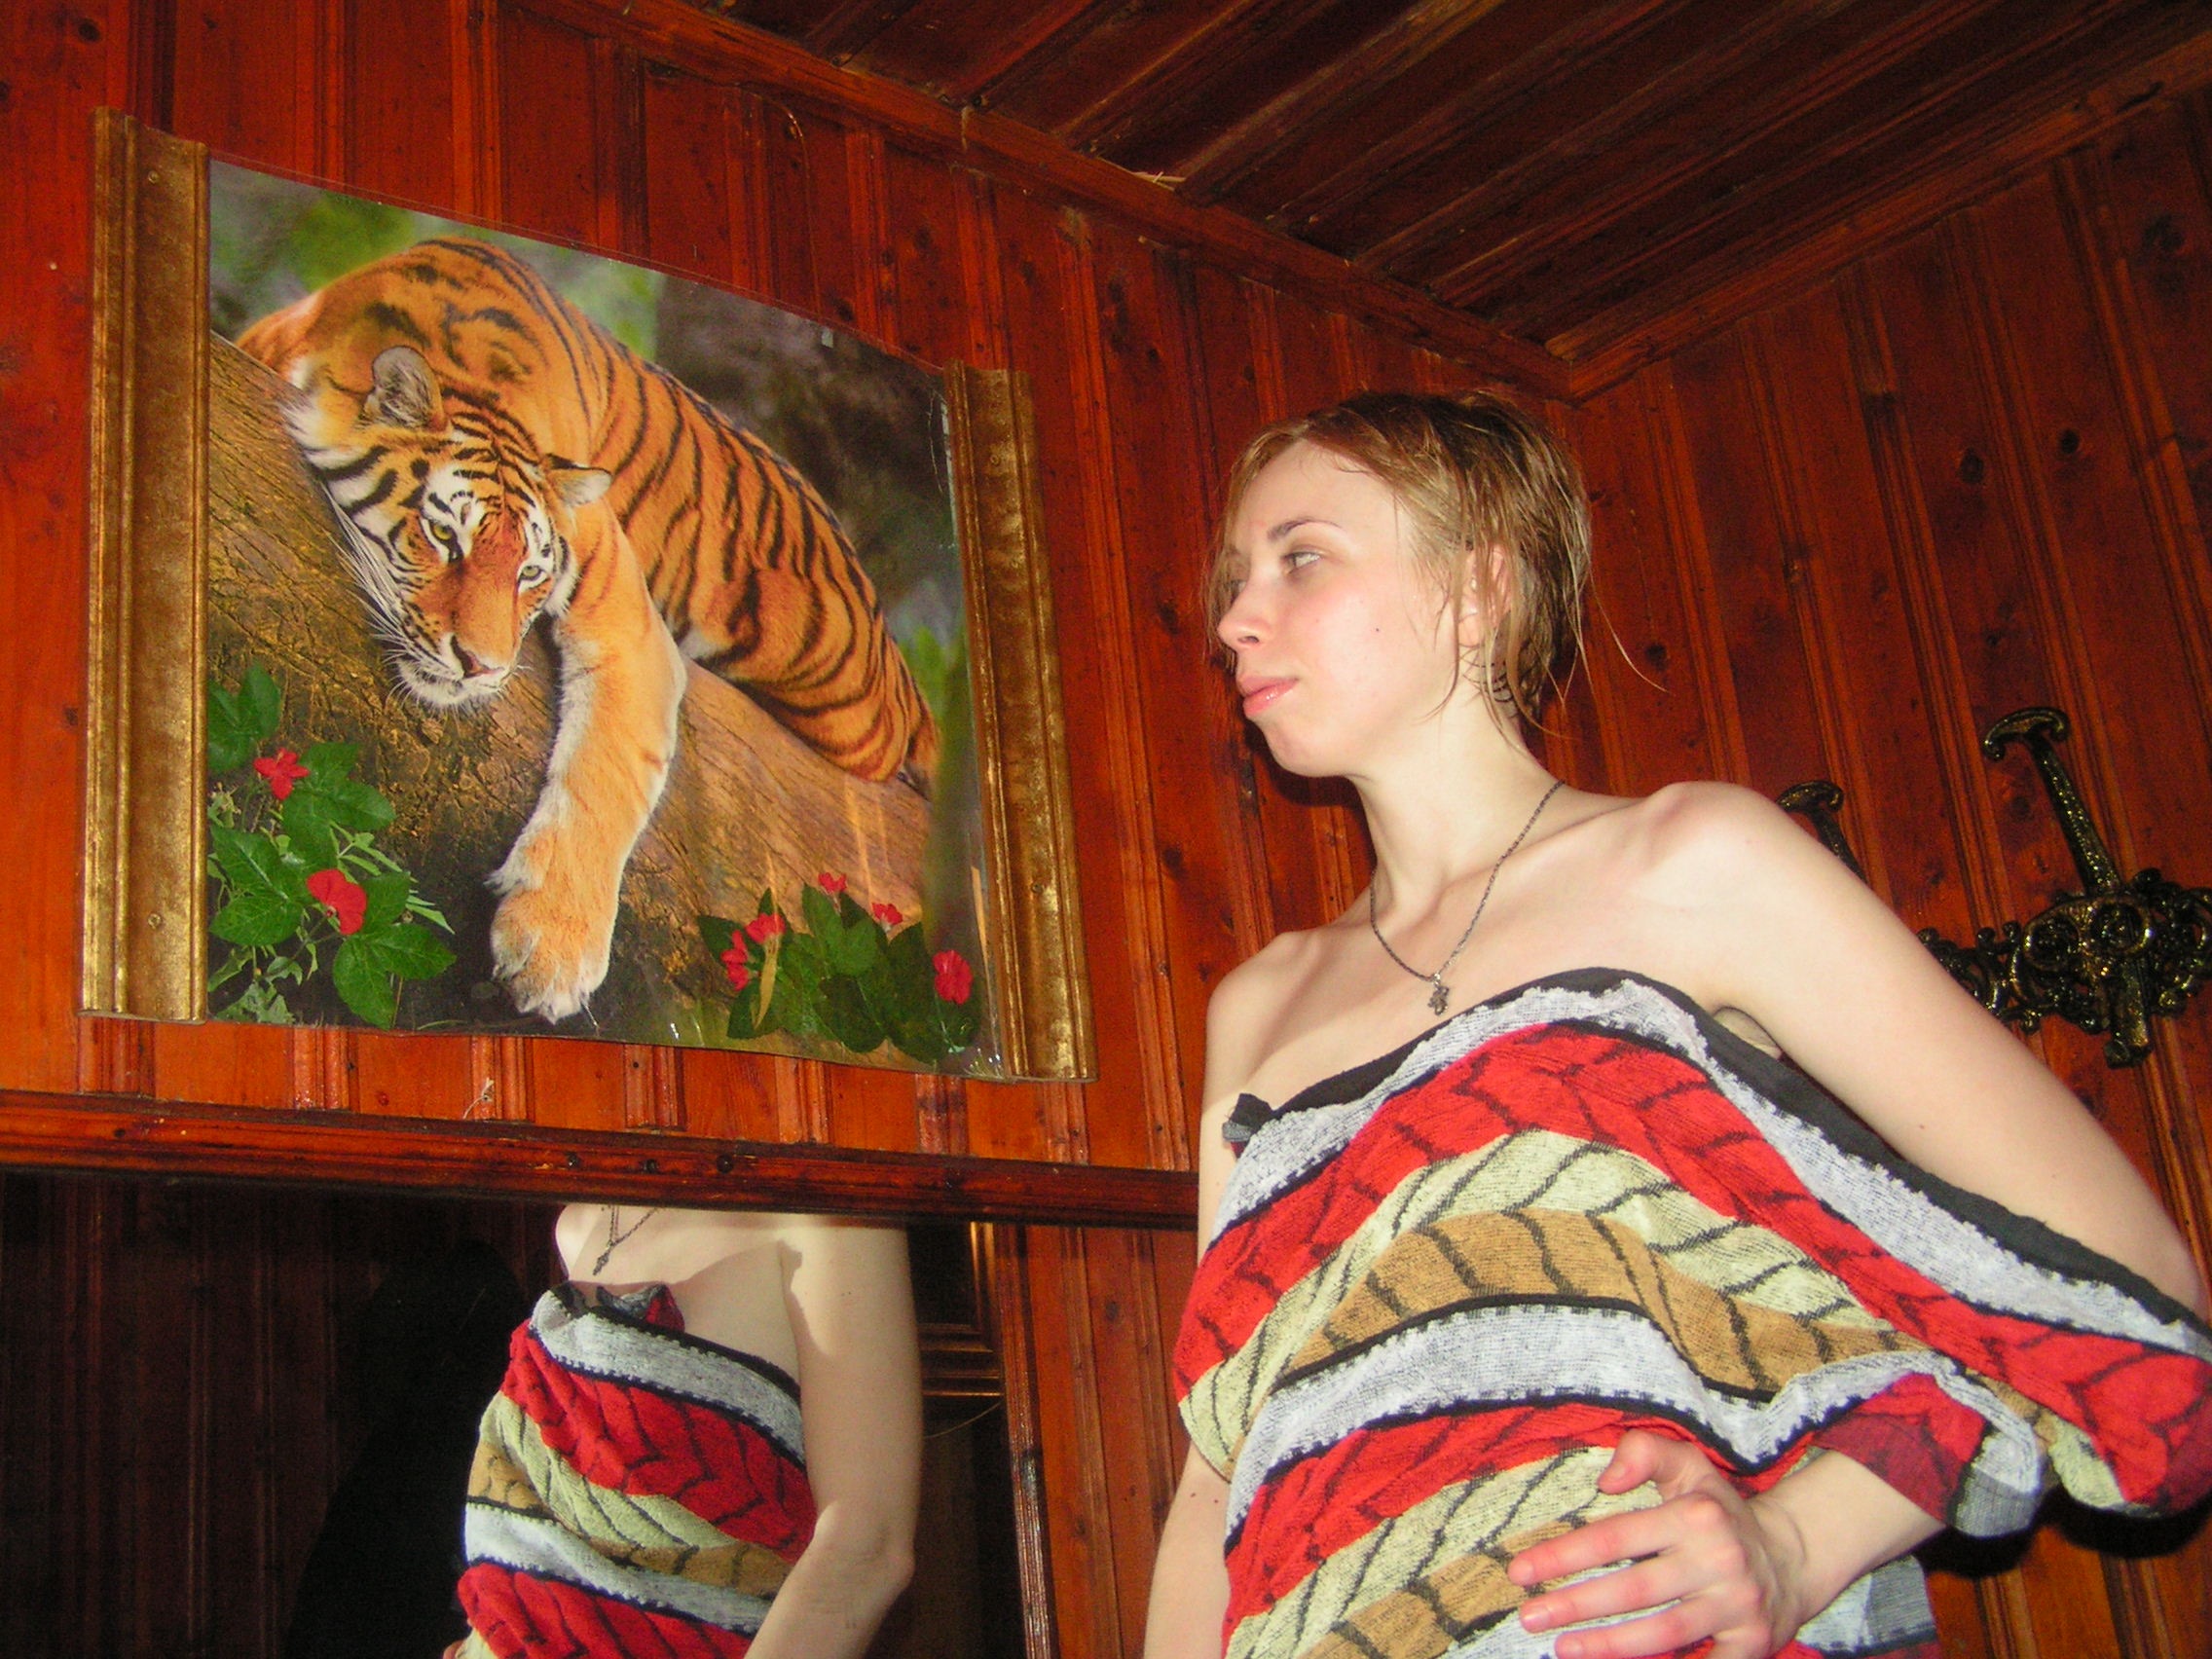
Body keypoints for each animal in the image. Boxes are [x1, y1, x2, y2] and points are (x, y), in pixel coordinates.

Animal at [237, 236, 940, 1021]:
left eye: (528, 574)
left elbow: (606, 775)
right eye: (445, 537)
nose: (481, 666)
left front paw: (550, 951)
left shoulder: (629, 622)